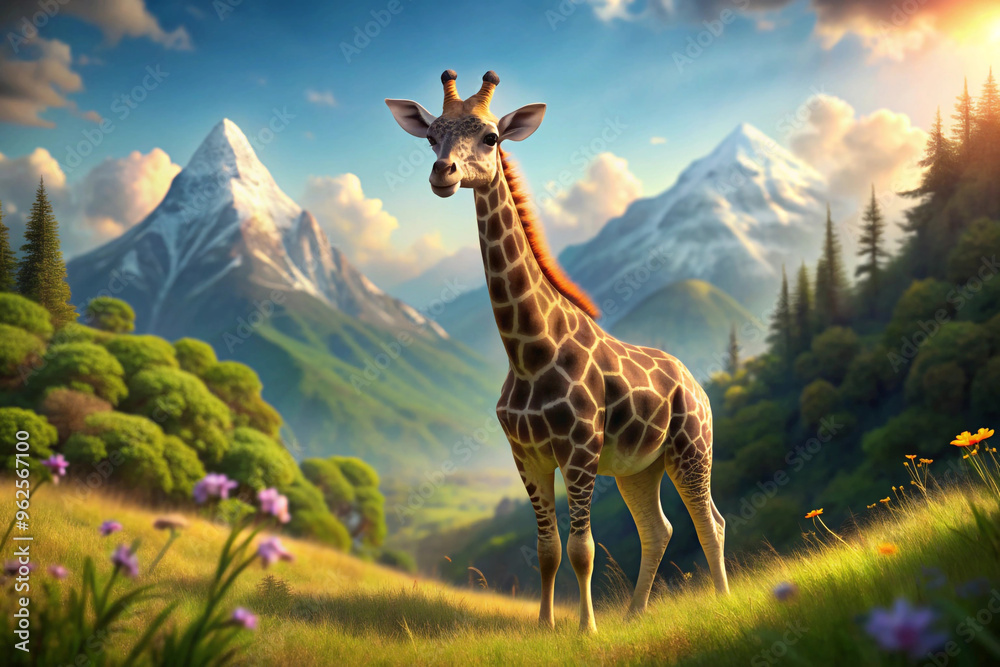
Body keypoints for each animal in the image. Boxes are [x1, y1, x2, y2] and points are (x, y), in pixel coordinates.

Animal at [386, 70, 729, 633]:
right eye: (432, 136)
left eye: (492, 137)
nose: (443, 173)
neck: (528, 353)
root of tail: (697, 385)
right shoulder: (526, 454)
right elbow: (546, 547)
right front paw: (545, 626)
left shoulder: (580, 450)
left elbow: (581, 548)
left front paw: (586, 629)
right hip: (639, 467)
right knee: (658, 529)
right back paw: (633, 615)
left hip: (692, 449)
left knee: (709, 521)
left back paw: (722, 599)